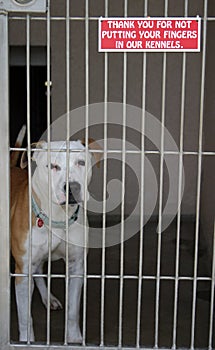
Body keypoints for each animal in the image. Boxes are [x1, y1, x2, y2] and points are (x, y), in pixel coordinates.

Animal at [10, 127, 101, 344]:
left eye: (81, 163)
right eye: (52, 166)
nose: (72, 187)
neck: (58, 217)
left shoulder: (76, 266)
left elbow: (73, 311)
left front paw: (74, 339)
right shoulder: (22, 271)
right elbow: (25, 316)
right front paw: (26, 341)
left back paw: (48, 298)